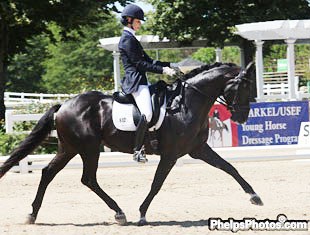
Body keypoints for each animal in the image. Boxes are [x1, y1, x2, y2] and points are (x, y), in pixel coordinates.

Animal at [0, 62, 262, 226]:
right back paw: (119, 213)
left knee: (48, 173)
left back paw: (32, 214)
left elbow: (229, 168)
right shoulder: (171, 154)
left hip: (70, 148)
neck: (186, 103)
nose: (243, 117)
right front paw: (143, 214)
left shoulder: (198, 150)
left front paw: (255, 197)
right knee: (88, 179)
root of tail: (63, 105)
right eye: (244, 86)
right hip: (89, 149)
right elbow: (157, 184)